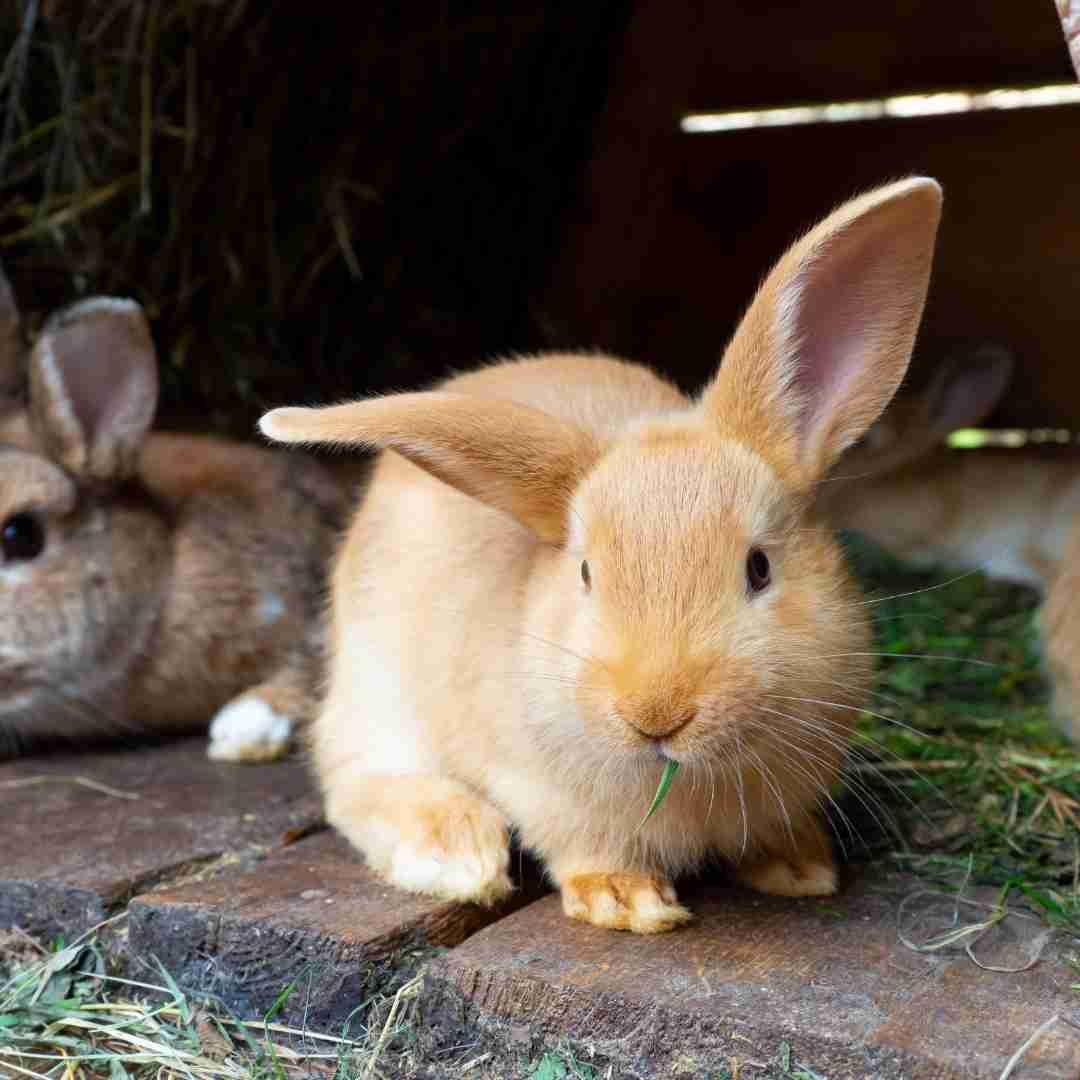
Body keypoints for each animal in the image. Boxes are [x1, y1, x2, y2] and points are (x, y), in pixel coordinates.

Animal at [257, 174, 941, 928]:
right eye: (586, 573)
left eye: (759, 567)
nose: (657, 715)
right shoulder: (544, 794)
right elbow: (584, 849)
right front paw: (629, 902)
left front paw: (801, 869)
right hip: (377, 691)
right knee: (354, 777)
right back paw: (456, 853)